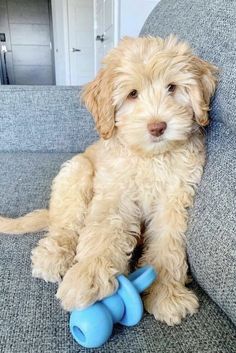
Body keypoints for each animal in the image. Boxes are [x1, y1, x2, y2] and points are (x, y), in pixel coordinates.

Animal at [0, 35, 218, 324]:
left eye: (172, 87)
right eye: (132, 94)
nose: (158, 127)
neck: (150, 157)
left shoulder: (174, 199)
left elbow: (168, 245)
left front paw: (167, 293)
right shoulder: (115, 193)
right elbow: (103, 232)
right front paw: (88, 276)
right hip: (76, 170)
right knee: (65, 227)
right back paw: (54, 256)